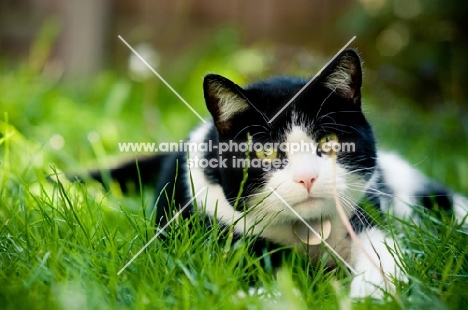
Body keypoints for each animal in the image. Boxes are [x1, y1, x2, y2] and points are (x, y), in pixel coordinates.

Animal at [85, 49, 468, 300]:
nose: (307, 178)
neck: (308, 232)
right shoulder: (216, 234)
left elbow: (383, 259)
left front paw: (367, 297)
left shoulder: (367, 218)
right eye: (265, 151)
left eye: (329, 141)